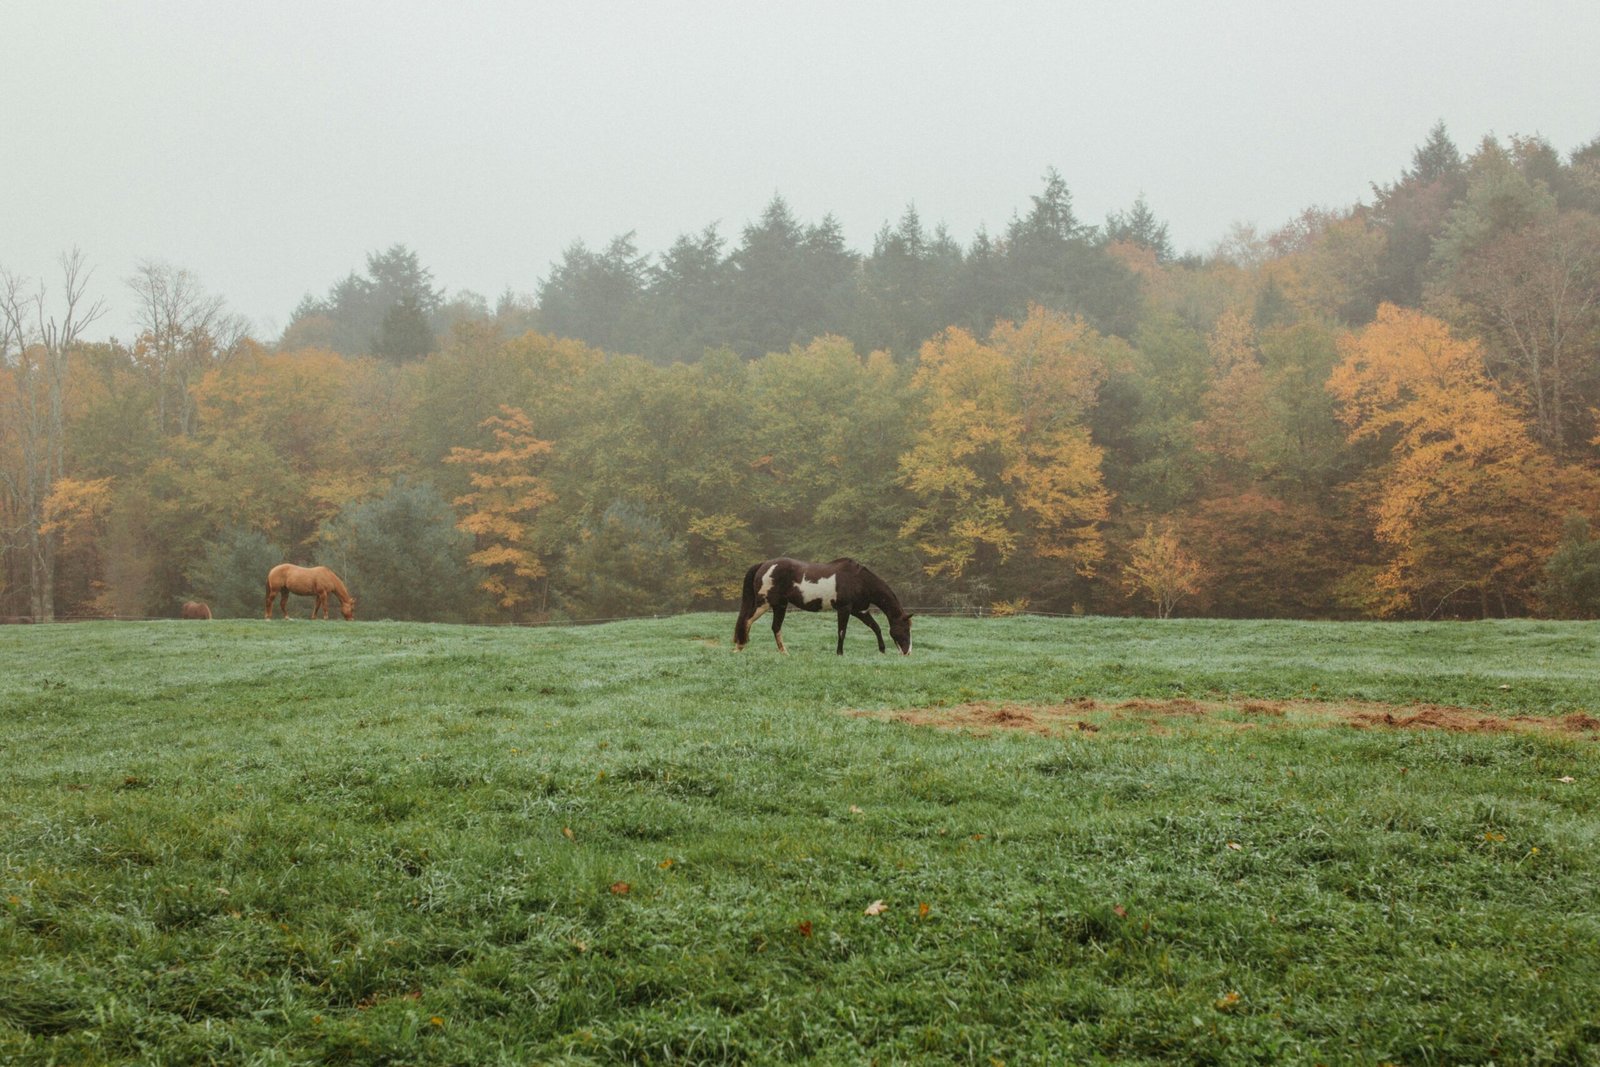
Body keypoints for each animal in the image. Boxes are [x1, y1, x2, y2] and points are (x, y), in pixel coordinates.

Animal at [736, 556, 915, 655]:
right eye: (905, 629)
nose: (907, 652)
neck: (859, 580)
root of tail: (764, 564)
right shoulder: (845, 609)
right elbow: (842, 632)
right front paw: (840, 653)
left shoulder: (860, 611)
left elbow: (876, 627)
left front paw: (882, 650)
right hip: (764, 604)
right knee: (747, 621)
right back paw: (739, 647)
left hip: (780, 606)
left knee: (775, 627)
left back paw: (784, 653)